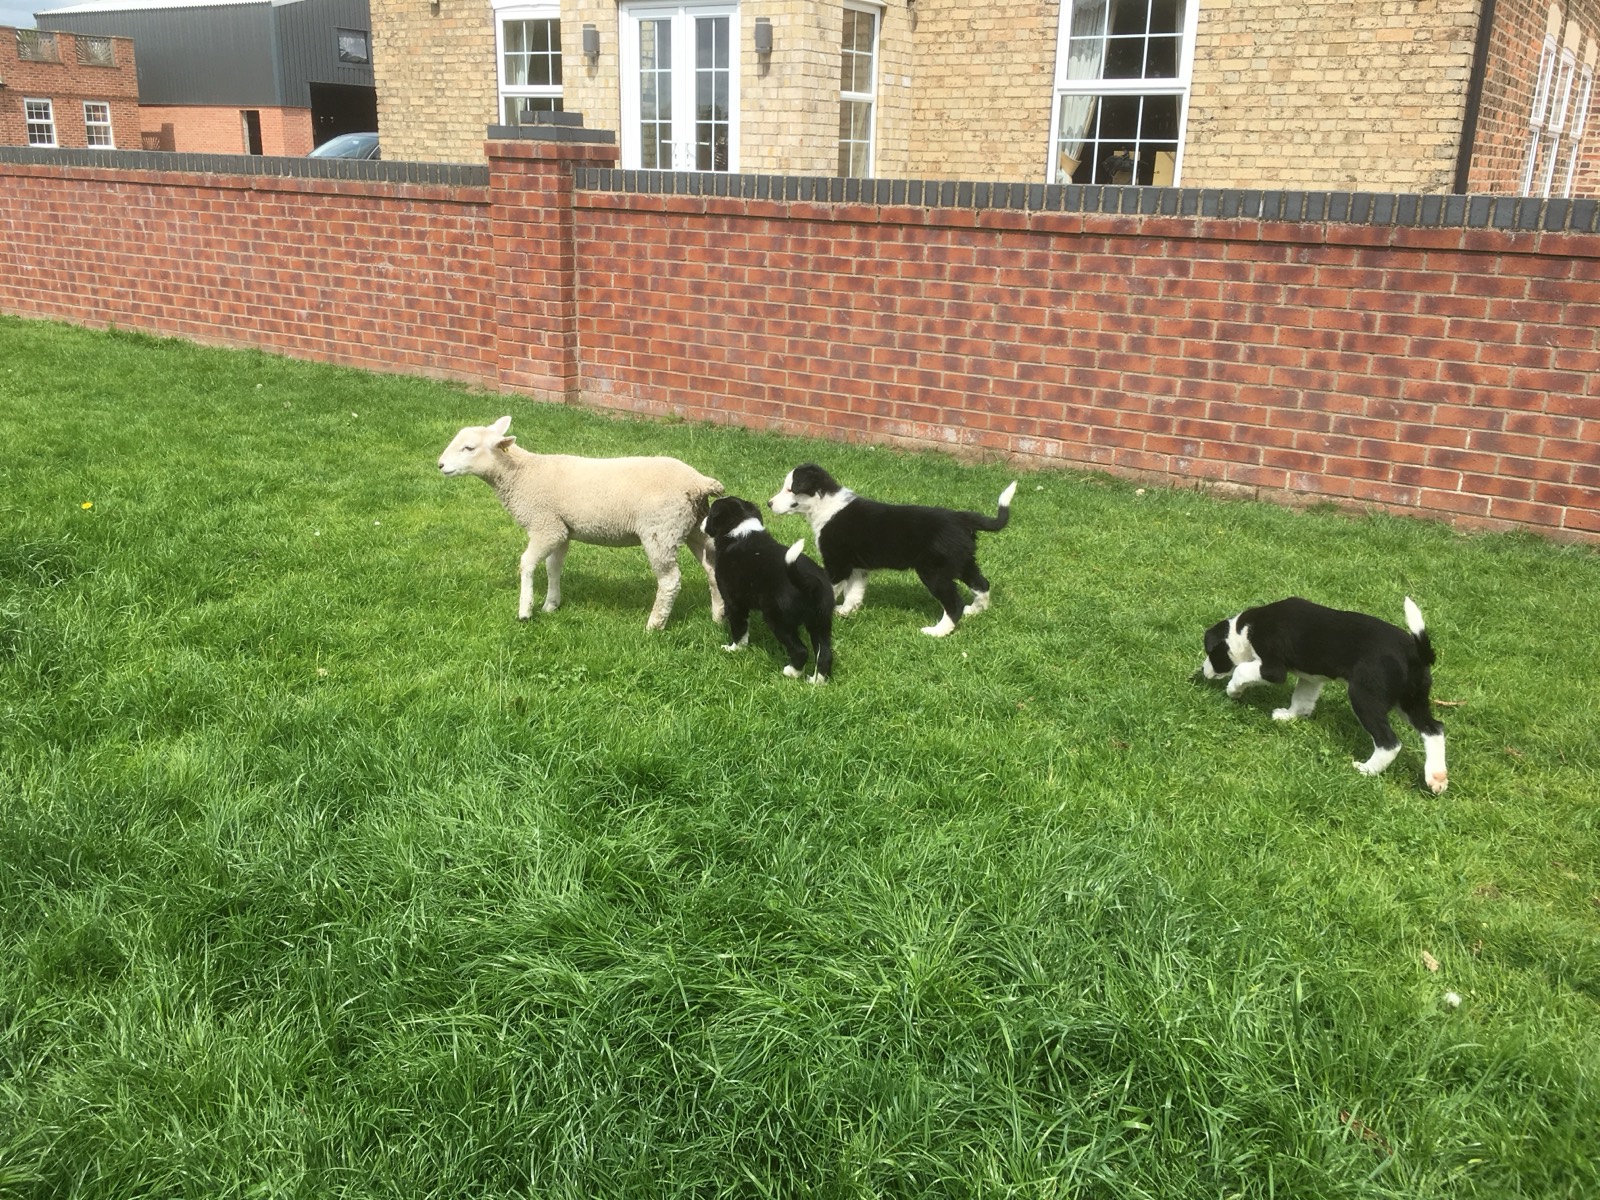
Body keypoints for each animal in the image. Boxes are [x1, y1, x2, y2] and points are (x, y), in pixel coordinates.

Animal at [438, 415, 725, 630]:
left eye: (469, 448)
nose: (439, 465)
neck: (522, 475)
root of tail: (699, 482)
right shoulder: (562, 529)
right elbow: (553, 567)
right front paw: (551, 604)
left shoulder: (546, 526)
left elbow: (526, 564)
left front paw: (525, 610)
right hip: (693, 527)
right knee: (711, 569)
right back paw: (718, 615)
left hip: (661, 531)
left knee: (669, 581)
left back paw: (654, 625)